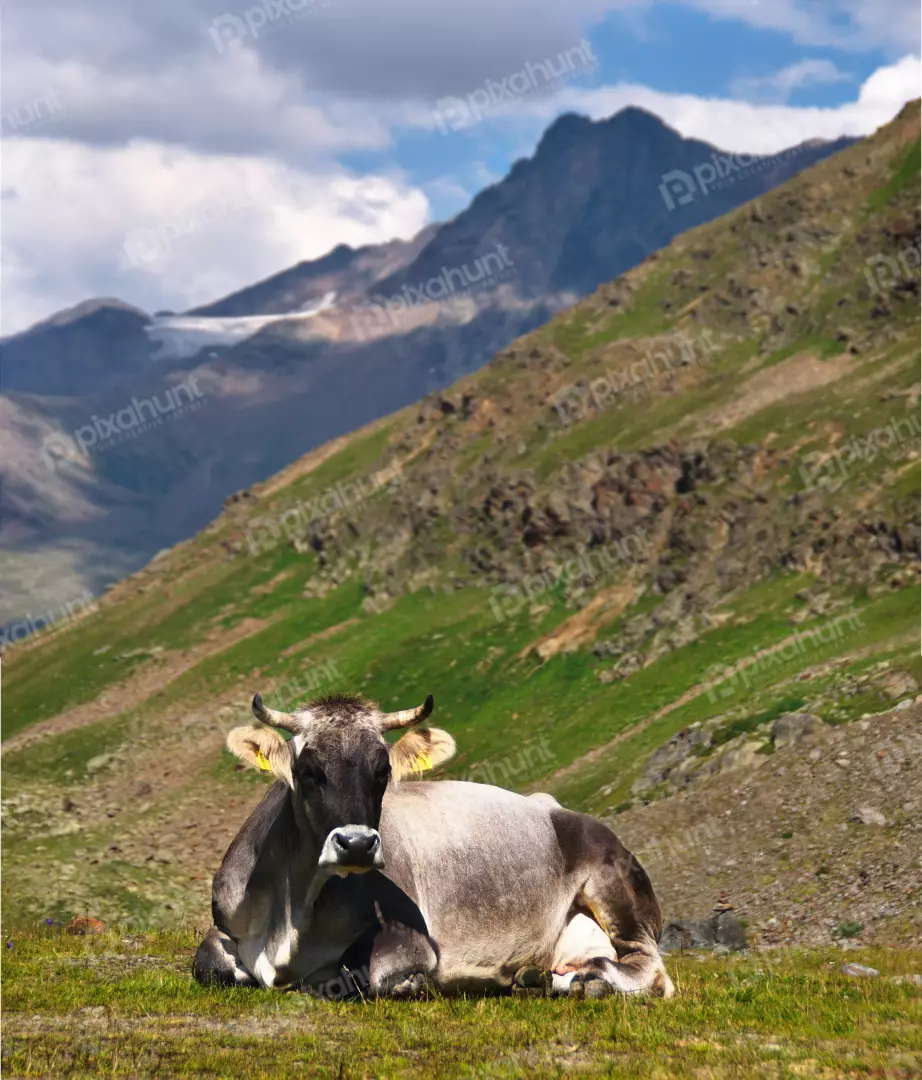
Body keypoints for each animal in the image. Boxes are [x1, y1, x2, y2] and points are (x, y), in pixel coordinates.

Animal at [193, 692, 674, 1000]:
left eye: (383, 770)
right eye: (309, 770)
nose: (357, 844)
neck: (289, 920)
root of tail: (553, 806)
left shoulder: (409, 937)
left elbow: (370, 977)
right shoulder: (226, 926)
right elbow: (207, 963)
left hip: (613, 886)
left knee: (651, 969)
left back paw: (589, 980)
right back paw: (538, 976)